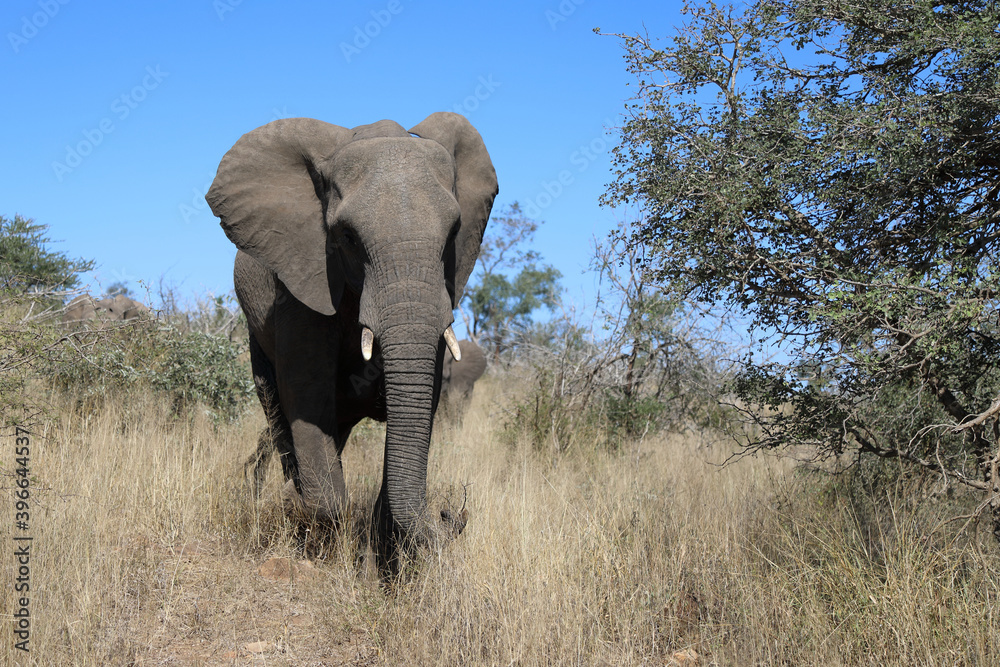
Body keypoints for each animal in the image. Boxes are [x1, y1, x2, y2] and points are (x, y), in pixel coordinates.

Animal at [205, 112, 497, 570]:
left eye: (454, 233)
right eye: (347, 237)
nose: (452, 513)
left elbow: (421, 400)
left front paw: (380, 561)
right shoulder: (301, 283)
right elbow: (305, 393)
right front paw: (310, 526)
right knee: (280, 409)